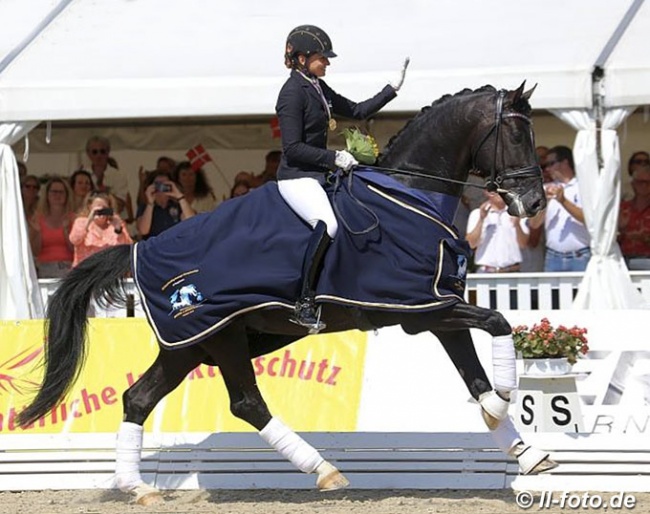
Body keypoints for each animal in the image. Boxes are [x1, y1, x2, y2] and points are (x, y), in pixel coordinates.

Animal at [16, 82, 552, 502]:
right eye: (516, 134)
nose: (534, 203)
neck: (410, 194)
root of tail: (139, 248)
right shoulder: (423, 310)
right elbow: (499, 324)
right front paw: (505, 400)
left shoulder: (438, 305)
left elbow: (475, 374)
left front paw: (525, 449)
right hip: (220, 335)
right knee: (246, 403)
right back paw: (325, 470)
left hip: (190, 344)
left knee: (138, 398)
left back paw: (138, 487)